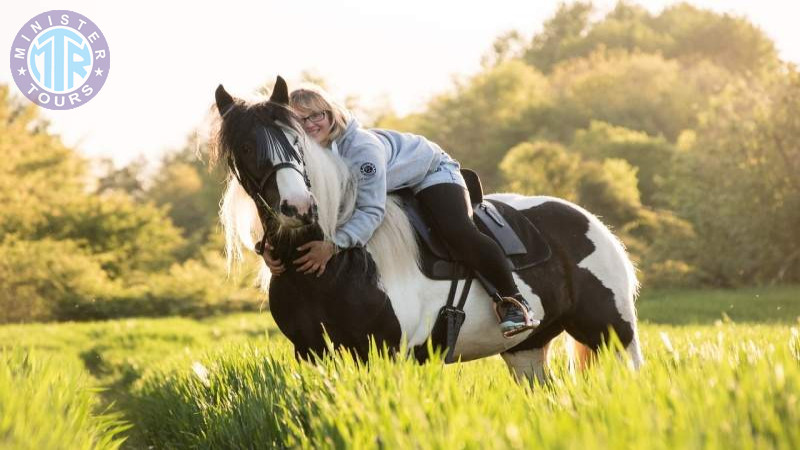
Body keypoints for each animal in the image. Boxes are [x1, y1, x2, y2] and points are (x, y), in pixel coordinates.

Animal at [211, 75, 644, 382]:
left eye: (296, 141)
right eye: (246, 148)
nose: (298, 207)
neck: (335, 267)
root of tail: (589, 221)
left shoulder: (383, 353)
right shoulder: (310, 351)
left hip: (614, 333)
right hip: (527, 349)